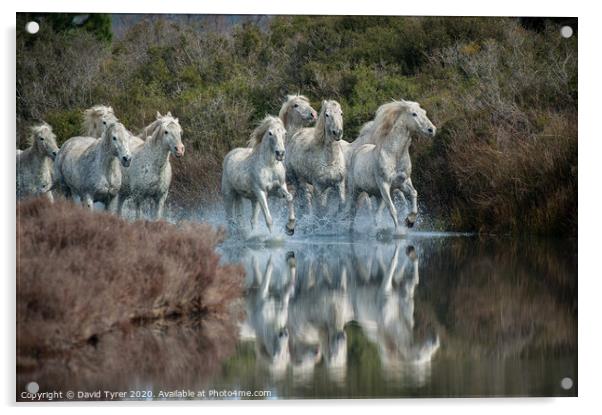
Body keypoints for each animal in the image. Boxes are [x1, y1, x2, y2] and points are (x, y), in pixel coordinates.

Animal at [346, 99, 436, 232]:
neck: (394, 155)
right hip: (355, 190)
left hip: (378, 195)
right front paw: (398, 231)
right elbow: (393, 210)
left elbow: (414, 193)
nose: (432, 130)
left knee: (376, 214)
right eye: (414, 114)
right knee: (353, 211)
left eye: (424, 112)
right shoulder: (384, 185)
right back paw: (351, 230)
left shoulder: (403, 182)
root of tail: (358, 150)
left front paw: (409, 221)